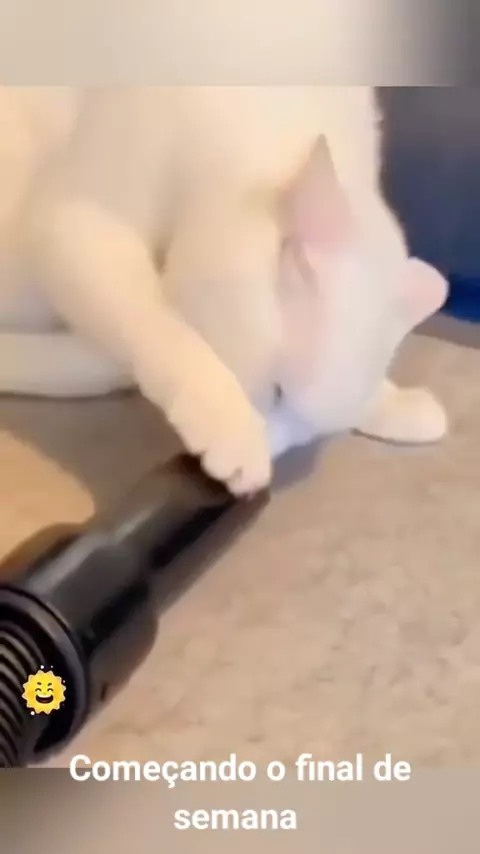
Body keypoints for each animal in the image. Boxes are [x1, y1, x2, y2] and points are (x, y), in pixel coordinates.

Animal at [0, 86, 448, 496]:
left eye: (308, 434)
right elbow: (163, 332)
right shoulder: (78, 222)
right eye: (277, 391)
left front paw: (394, 404)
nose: (269, 459)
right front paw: (230, 427)